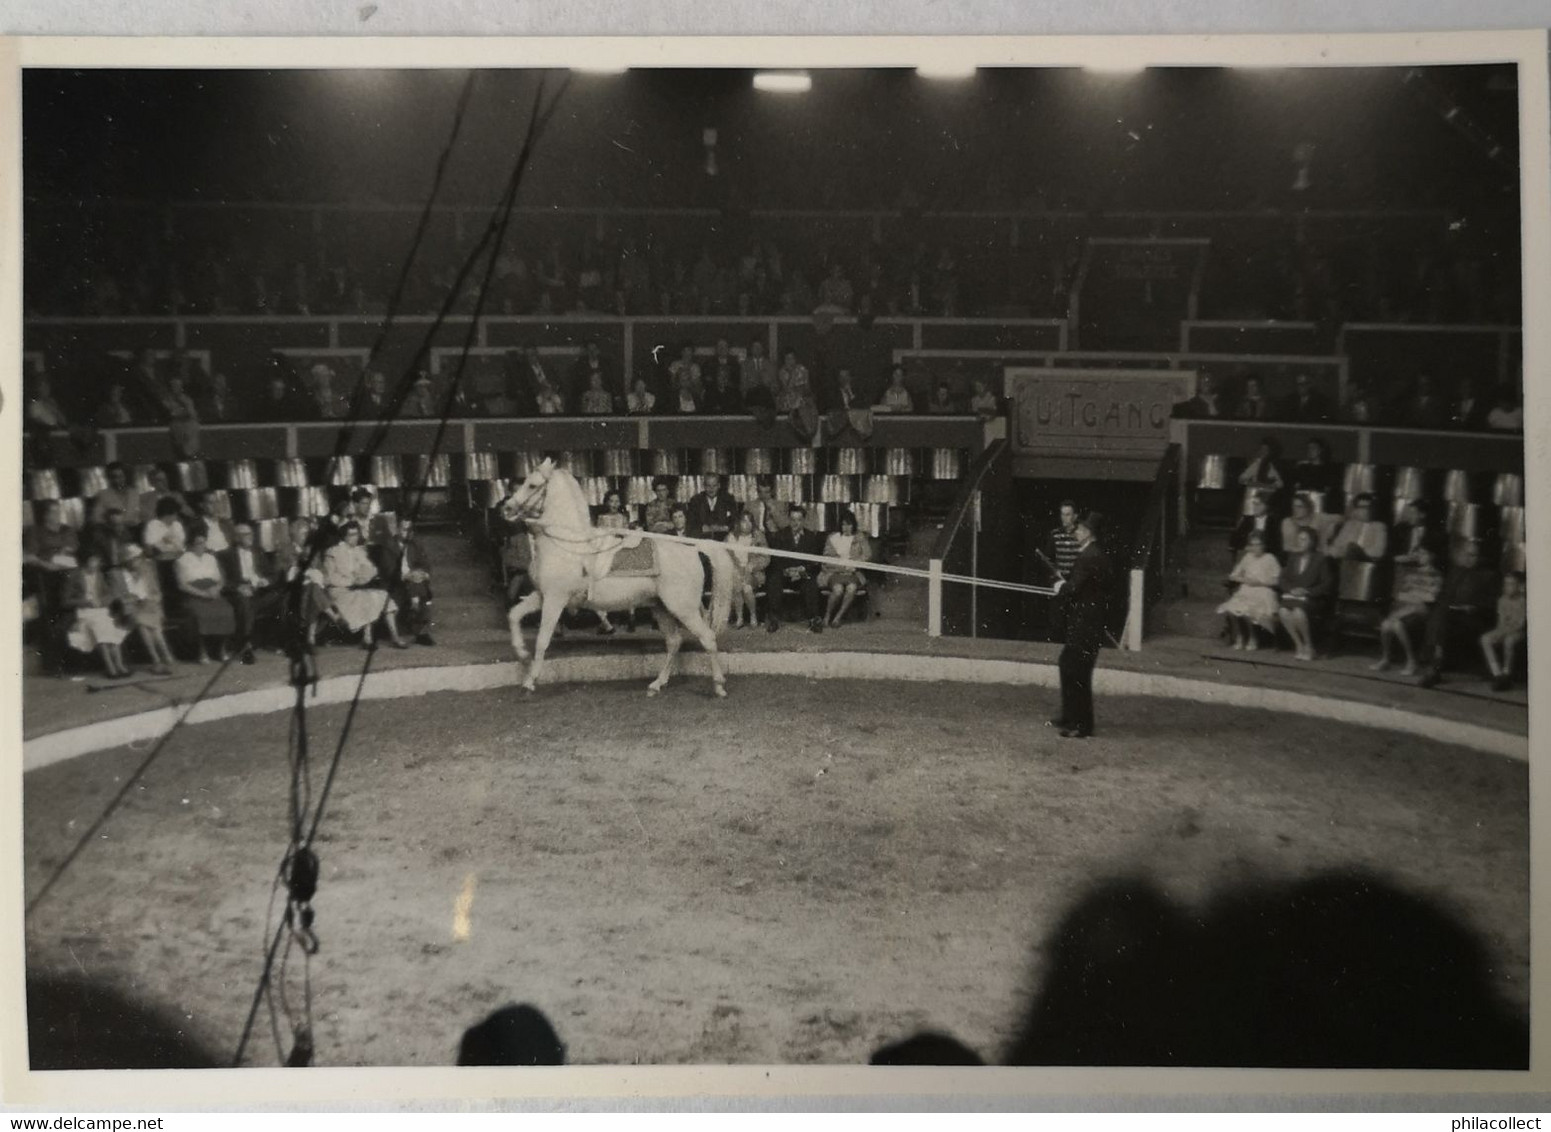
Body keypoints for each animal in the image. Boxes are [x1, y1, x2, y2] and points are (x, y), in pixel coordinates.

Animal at [499, 452, 735, 691]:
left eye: (532, 485)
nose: (506, 508)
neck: (565, 544)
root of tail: (693, 549)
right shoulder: (542, 595)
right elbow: (514, 614)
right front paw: (521, 653)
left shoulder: (555, 599)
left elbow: (542, 639)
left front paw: (530, 682)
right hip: (662, 607)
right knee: (674, 641)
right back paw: (657, 684)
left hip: (682, 608)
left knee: (707, 638)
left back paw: (718, 686)